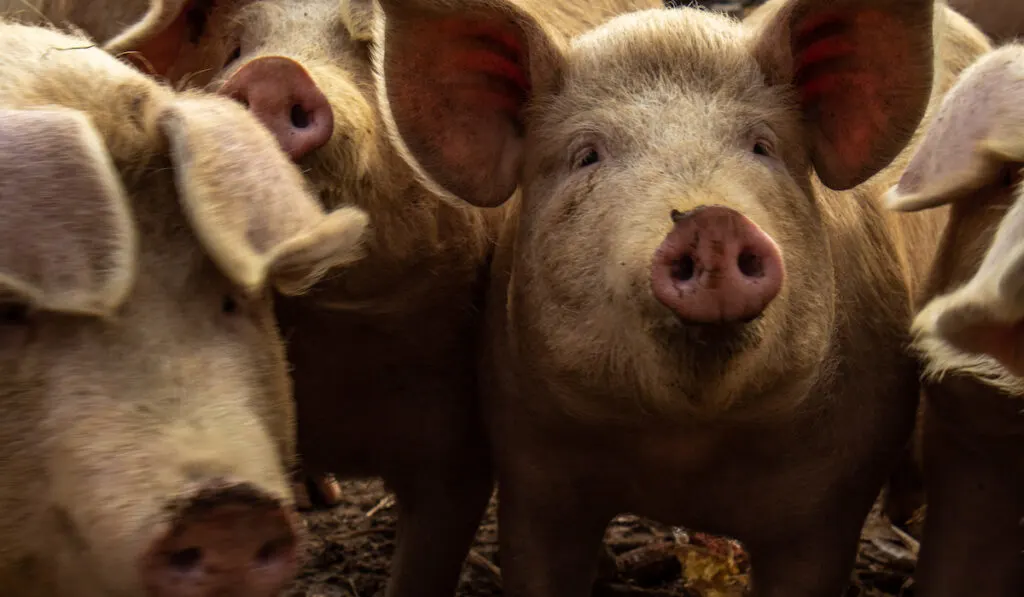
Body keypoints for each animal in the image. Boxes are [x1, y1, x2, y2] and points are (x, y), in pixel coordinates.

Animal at [368, 0, 991, 593]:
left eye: (762, 146)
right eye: (586, 155)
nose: (711, 220)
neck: (682, 450)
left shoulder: (834, 496)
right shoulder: (531, 470)